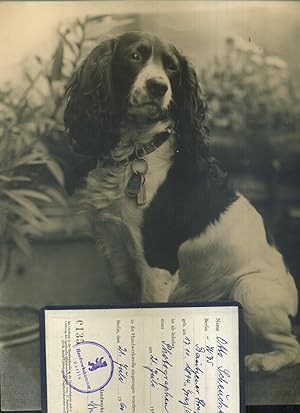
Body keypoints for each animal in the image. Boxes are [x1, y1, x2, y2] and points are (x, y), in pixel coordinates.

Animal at [63, 32, 298, 372]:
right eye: (134, 56)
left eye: (172, 67)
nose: (158, 86)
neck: (135, 153)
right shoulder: (116, 252)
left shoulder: (155, 263)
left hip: (250, 289)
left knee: (292, 347)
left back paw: (263, 361)